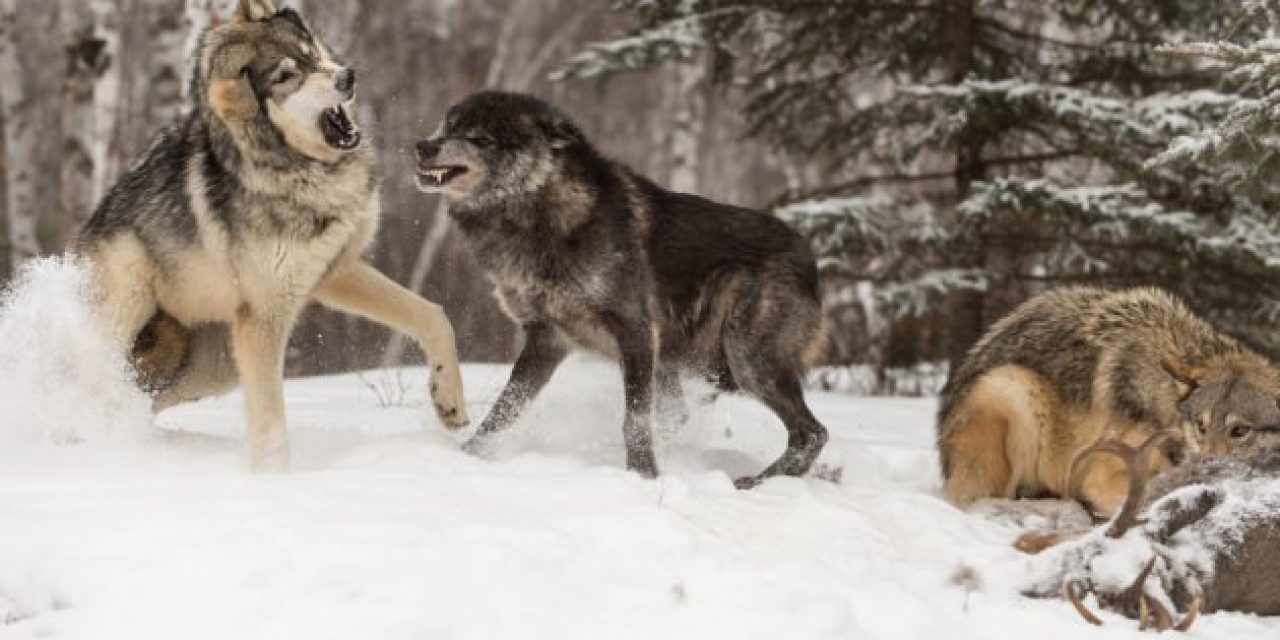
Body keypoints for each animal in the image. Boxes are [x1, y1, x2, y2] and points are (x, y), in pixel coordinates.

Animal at [74, 0, 468, 471]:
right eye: (285, 77)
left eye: (311, 53)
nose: (347, 77)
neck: (303, 172)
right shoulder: (264, 320)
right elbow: (271, 427)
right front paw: (274, 480)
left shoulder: (337, 272)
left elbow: (433, 315)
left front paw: (449, 402)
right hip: (127, 316)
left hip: (210, 369)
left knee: (134, 403)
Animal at [412, 91, 829, 488]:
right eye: (448, 126)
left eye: (480, 138)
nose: (423, 145)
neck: (539, 212)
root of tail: (809, 256)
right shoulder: (547, 339)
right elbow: (504, 410)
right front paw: (467, 457)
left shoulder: (636, 331)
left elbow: (635, 419)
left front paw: (642, 476)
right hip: (688, 363)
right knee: (691, 415)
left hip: (746, 362)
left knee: (812, 433)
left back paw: (755, 485)